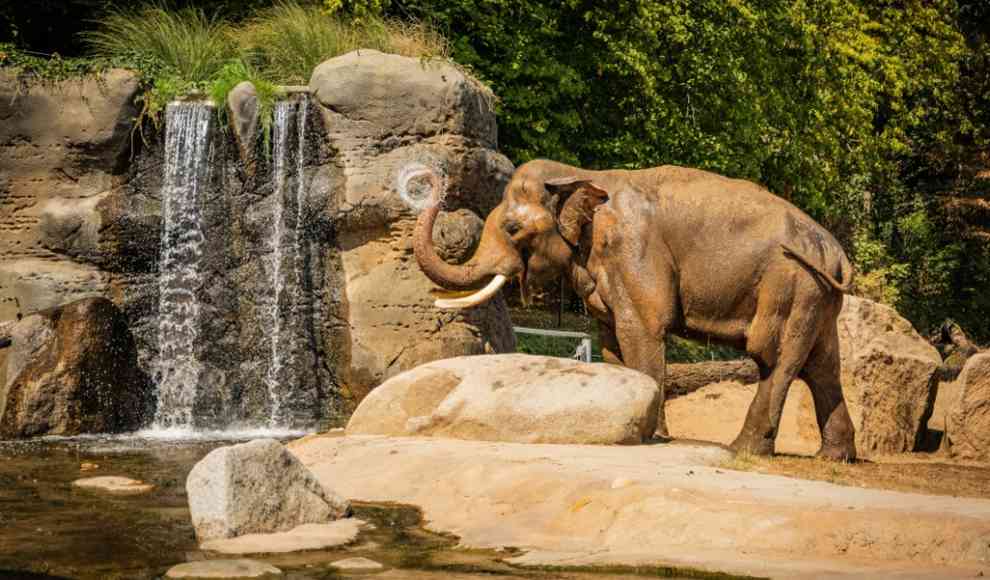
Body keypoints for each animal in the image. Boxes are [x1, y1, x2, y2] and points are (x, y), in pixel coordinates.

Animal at [414, 160, 856, 462]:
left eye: (512, 229)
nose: (427, 178)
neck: (579, 175)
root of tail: (837, 253)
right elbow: (611, 340)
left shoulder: (634, 251)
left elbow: (641, 329)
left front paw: (653, 437)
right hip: (817, 296)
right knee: (822, 365)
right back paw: (835, 456)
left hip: (791, 283)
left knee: (773, 356)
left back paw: (744, 449)